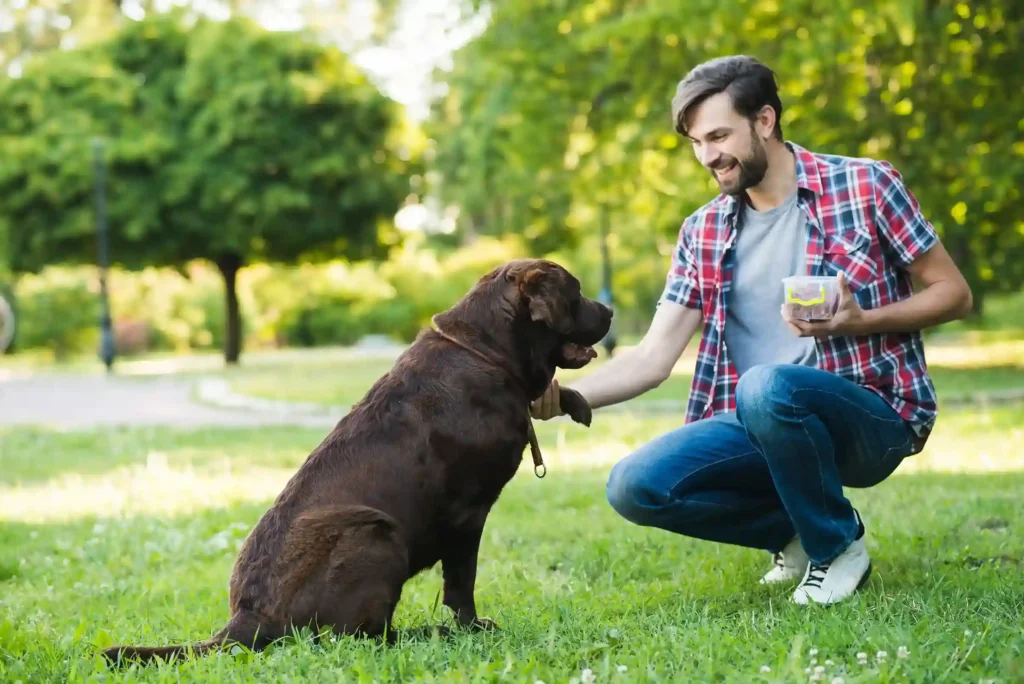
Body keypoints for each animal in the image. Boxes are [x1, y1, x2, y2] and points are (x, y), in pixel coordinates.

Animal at [101, 259, 614, 663]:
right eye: (577, 293)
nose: (609, 310)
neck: (487, 352)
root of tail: (246, 618)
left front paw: (574, 402)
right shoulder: (466, 514)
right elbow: (461, 583)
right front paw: (471, 627)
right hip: (374, 532)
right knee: (361, 636)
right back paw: (429, 633)